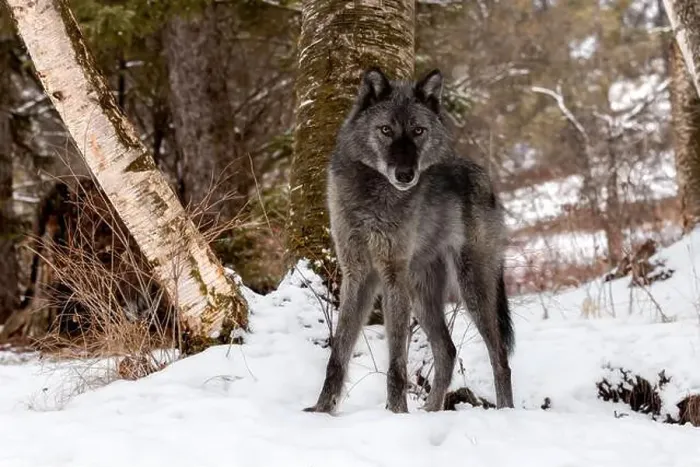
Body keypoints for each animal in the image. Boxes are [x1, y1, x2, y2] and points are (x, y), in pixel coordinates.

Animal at [304, 67, 514, 414]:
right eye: (386, 130)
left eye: (418, 131)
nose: (405, 174)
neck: (372, 197)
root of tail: (485, 177)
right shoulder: (357, 274)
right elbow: (338, 355)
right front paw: (322, 410)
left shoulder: (392, 276)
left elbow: (396, 364)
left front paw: (396, 413)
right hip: (422, 293)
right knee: (447, 350)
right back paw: (430, 412)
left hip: (472, 288)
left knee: (500, 357)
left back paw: (505, 413)